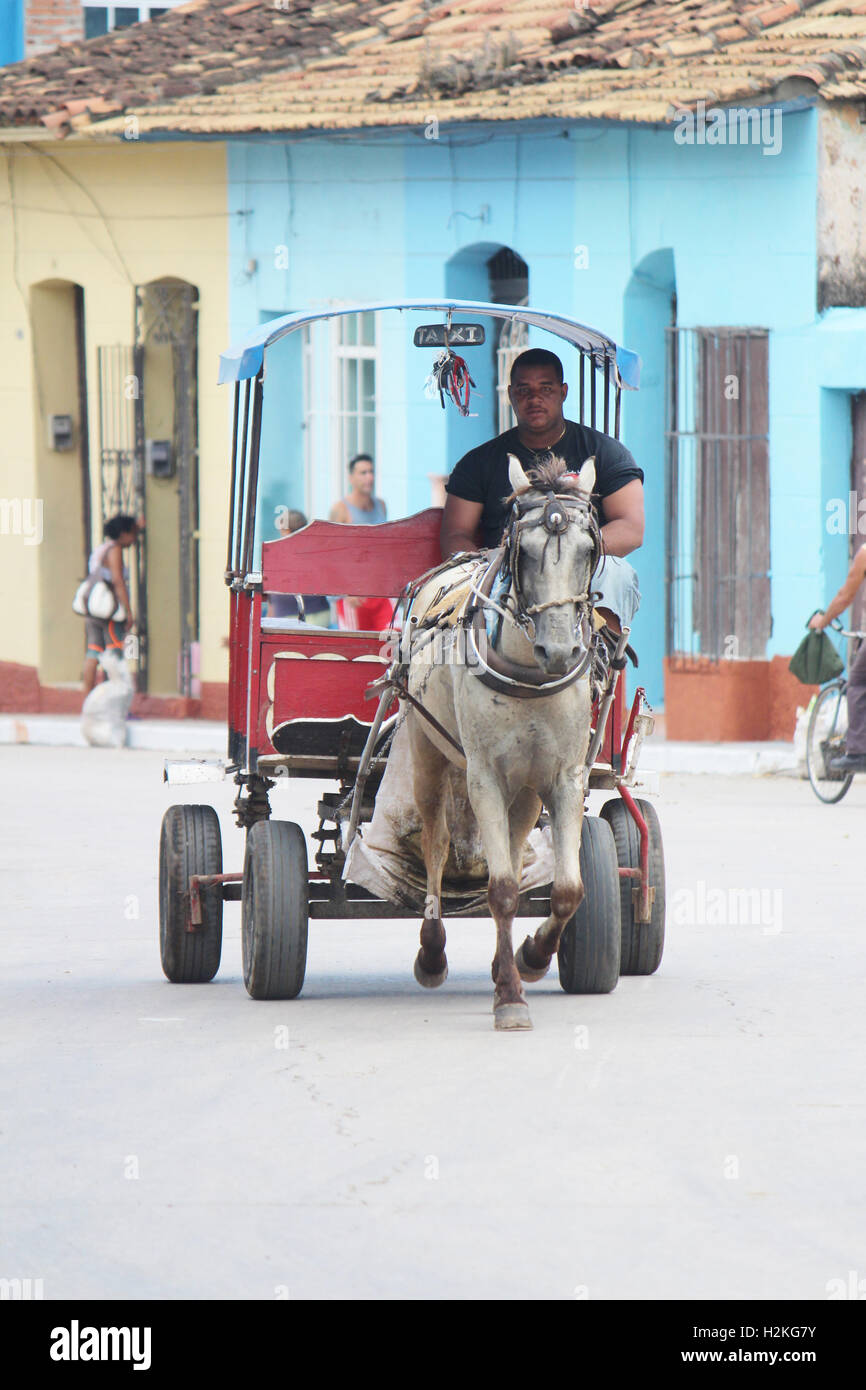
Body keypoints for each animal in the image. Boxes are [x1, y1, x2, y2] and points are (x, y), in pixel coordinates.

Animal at [408, 455, 600, 1034]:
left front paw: (530, 958)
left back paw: (502, 961)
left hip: (527, 787)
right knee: (436, 842)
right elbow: (500, 890)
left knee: (513, 849)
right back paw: (432, 950)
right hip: (427, 749)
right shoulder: (485, 777)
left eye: (589, 550)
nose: (558, 652)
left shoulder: (564, 778)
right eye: (524, 552)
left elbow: (566, 889)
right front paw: (511, 999)